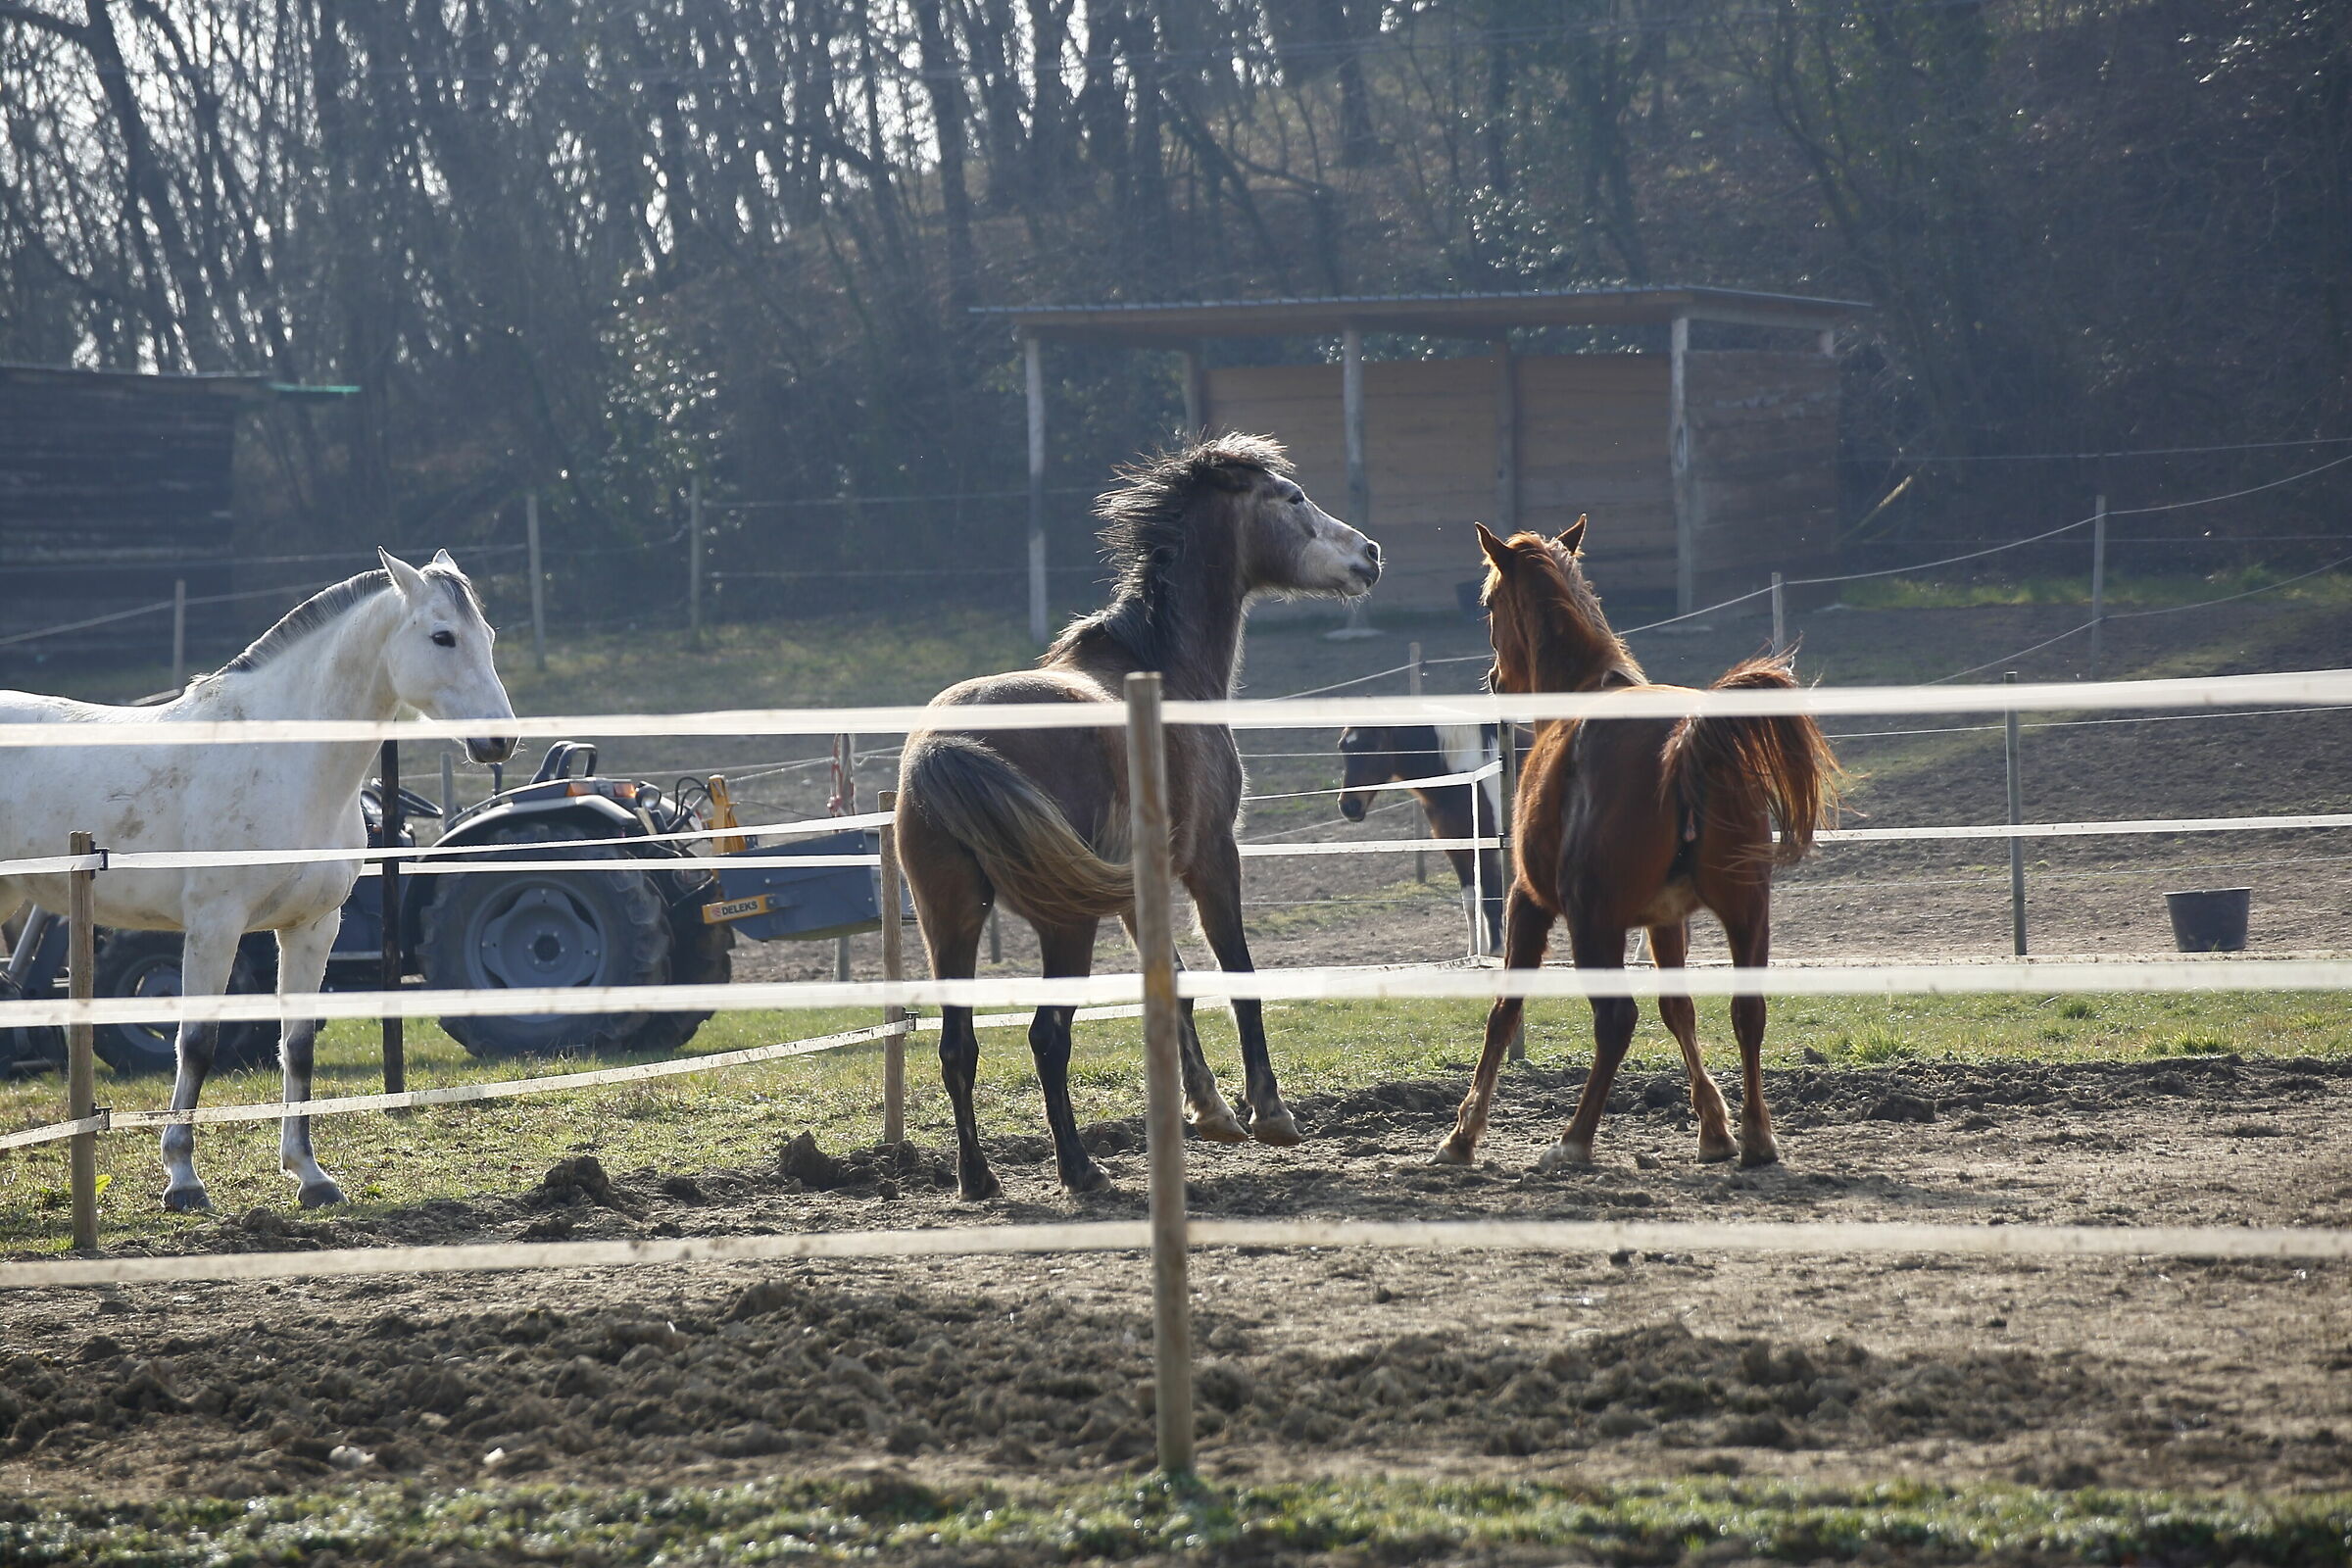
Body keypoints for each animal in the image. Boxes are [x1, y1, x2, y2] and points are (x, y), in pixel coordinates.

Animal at [0, 551, 517, 1212]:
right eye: (442, 636)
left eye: (489, 637)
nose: (499, 741)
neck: (282, 759)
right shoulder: (215, 929)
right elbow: (196, 1044)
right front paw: (183, 1181)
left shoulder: (312, 929)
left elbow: (296, 1047)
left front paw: (310, 1175)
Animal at [896, 434, 1381, 1199]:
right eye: (1293, 497)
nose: (1370, 553)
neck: (1164, 667)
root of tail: (946, 744)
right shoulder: (1214, 857)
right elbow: (1238, 974)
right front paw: (1268, 1113)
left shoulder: (1132, 891)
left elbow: (1173, 985)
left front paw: (1210, 1111)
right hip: (1063, 926)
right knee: (1046, 1036)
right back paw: (1078, 1168)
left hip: (952, 920)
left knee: (957, 1046)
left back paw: (979, 1178)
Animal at [1335, 722, 1507, 953]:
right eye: (1342, 746)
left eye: (1374, 745)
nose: (1349, 806)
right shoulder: (1457, 850)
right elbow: (1471, 903)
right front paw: (1473, 953)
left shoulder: (1487, 849)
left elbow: (1491, 903)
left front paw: (1496, 953)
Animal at [1435, 519, 1839, 1172]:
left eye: (1490, 603)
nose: (1496, 680)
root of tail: (1690, 739)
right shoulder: (1666, 920)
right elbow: (1681, 1011)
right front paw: (1714, 1128)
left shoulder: (1529, 902)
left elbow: (1504, 1013)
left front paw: (1463, 1134)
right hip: (1748, 912)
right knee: (1747, 1011)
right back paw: (1756, 1137)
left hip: (1592, 921)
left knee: (1617, 1019)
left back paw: (1574, 1138)